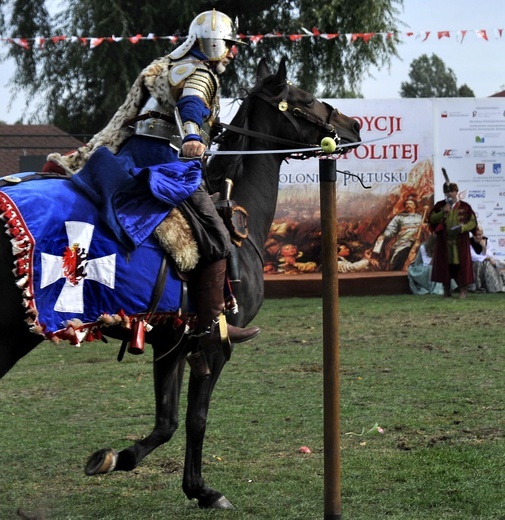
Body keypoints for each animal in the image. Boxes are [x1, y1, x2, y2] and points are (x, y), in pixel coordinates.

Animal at [0, 57, 362, 508]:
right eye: (304, 99)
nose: (353, 125)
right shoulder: (212, 346)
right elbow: (196, 419)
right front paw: (202, 489)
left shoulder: (170, 343)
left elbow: (167, 421)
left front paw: (118, 459)